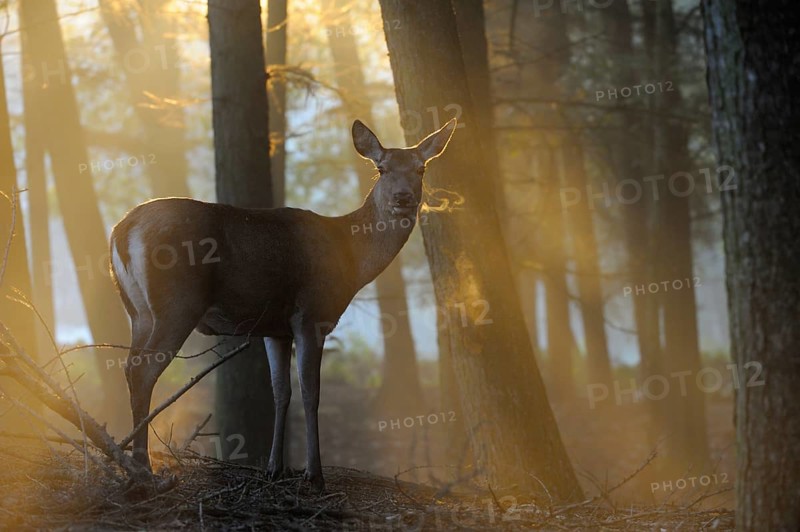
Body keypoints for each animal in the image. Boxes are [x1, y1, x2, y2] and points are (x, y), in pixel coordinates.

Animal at [109, 118, 456, 492]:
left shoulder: (275, 328)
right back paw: (143, 469)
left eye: (421, 168)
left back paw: (132, 463)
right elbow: (310, 392)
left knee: (129, 366)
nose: (403, 197)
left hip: (138, 312)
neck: (350, 260)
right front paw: (314, 474)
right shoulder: (311, 315)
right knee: (143, 370)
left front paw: (274, 469)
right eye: (382, 168)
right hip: (176, 304)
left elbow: (280, 392)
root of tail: (122, 230)